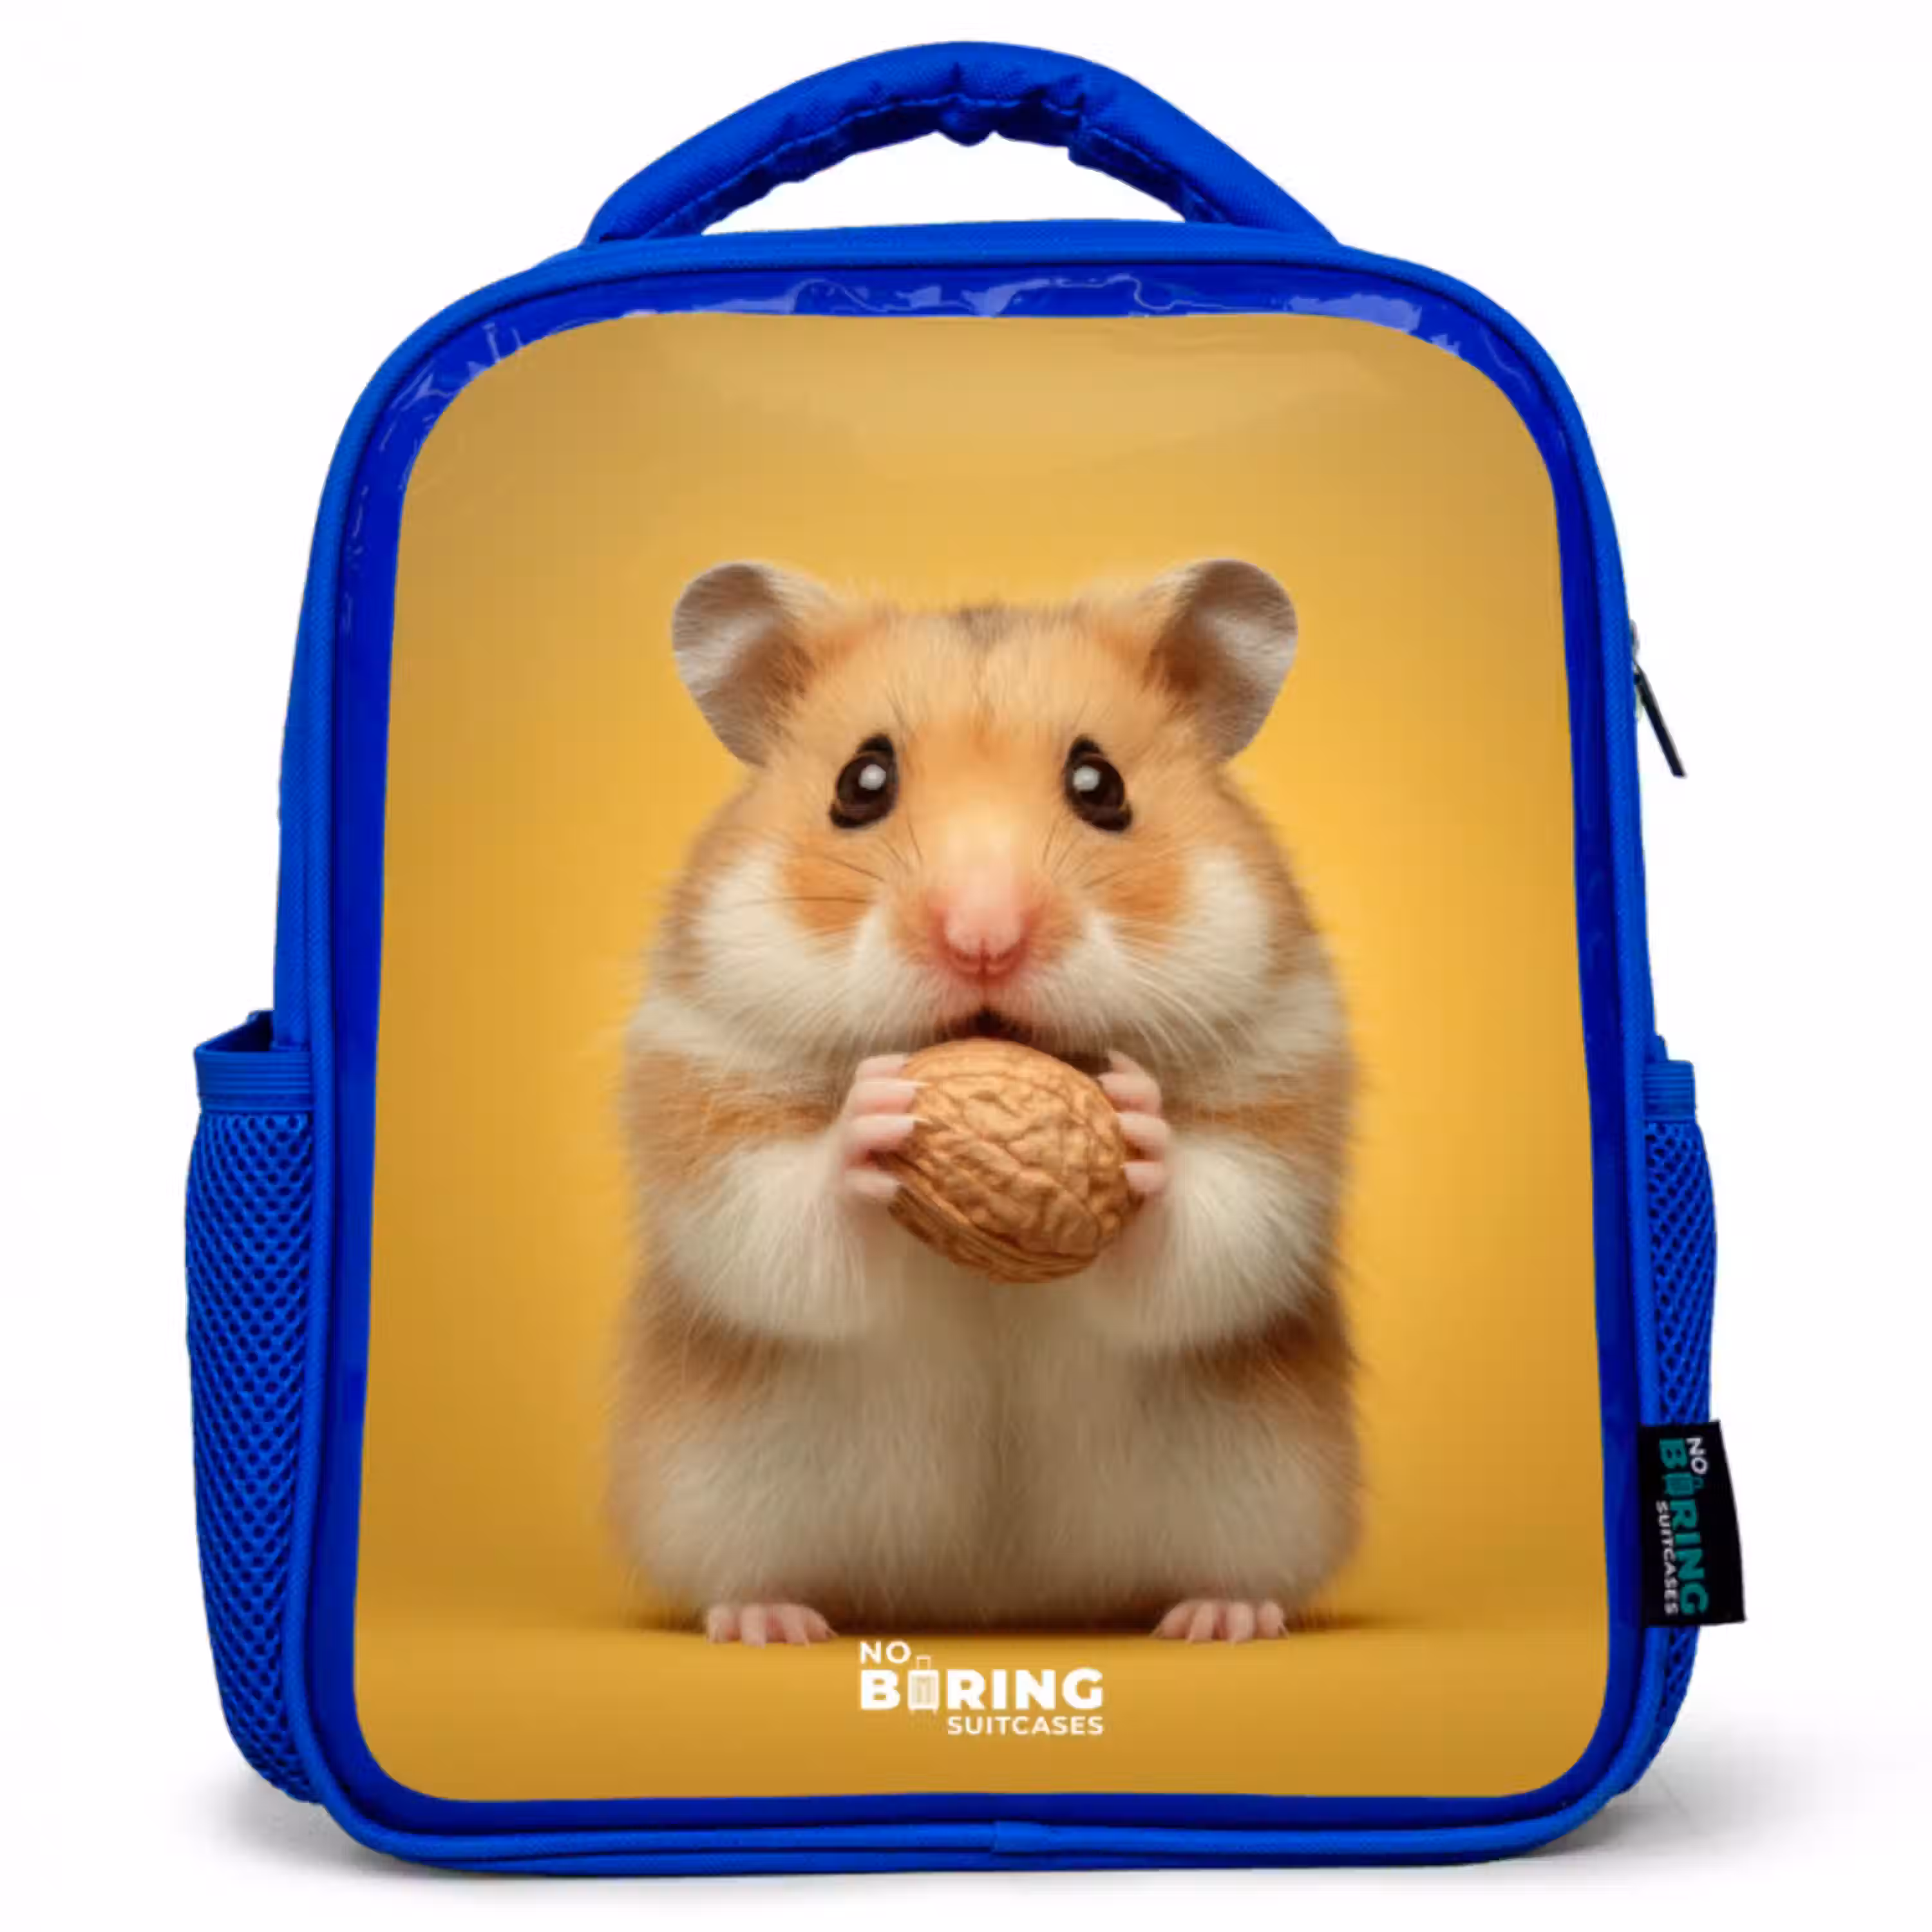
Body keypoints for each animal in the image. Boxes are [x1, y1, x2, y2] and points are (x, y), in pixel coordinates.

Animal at [613, 558, 1358, 1645]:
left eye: (1102, 786)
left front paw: (1140, 1124)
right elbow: (778, 1226)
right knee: (750, 1572)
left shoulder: (1283, 1084)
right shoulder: (703, 1088)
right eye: (860, 783)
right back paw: (772, 1621)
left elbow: (1216, 1233)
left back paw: (1221, 1618)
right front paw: (873, 1117)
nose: (984, 939)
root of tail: (992, 1601)